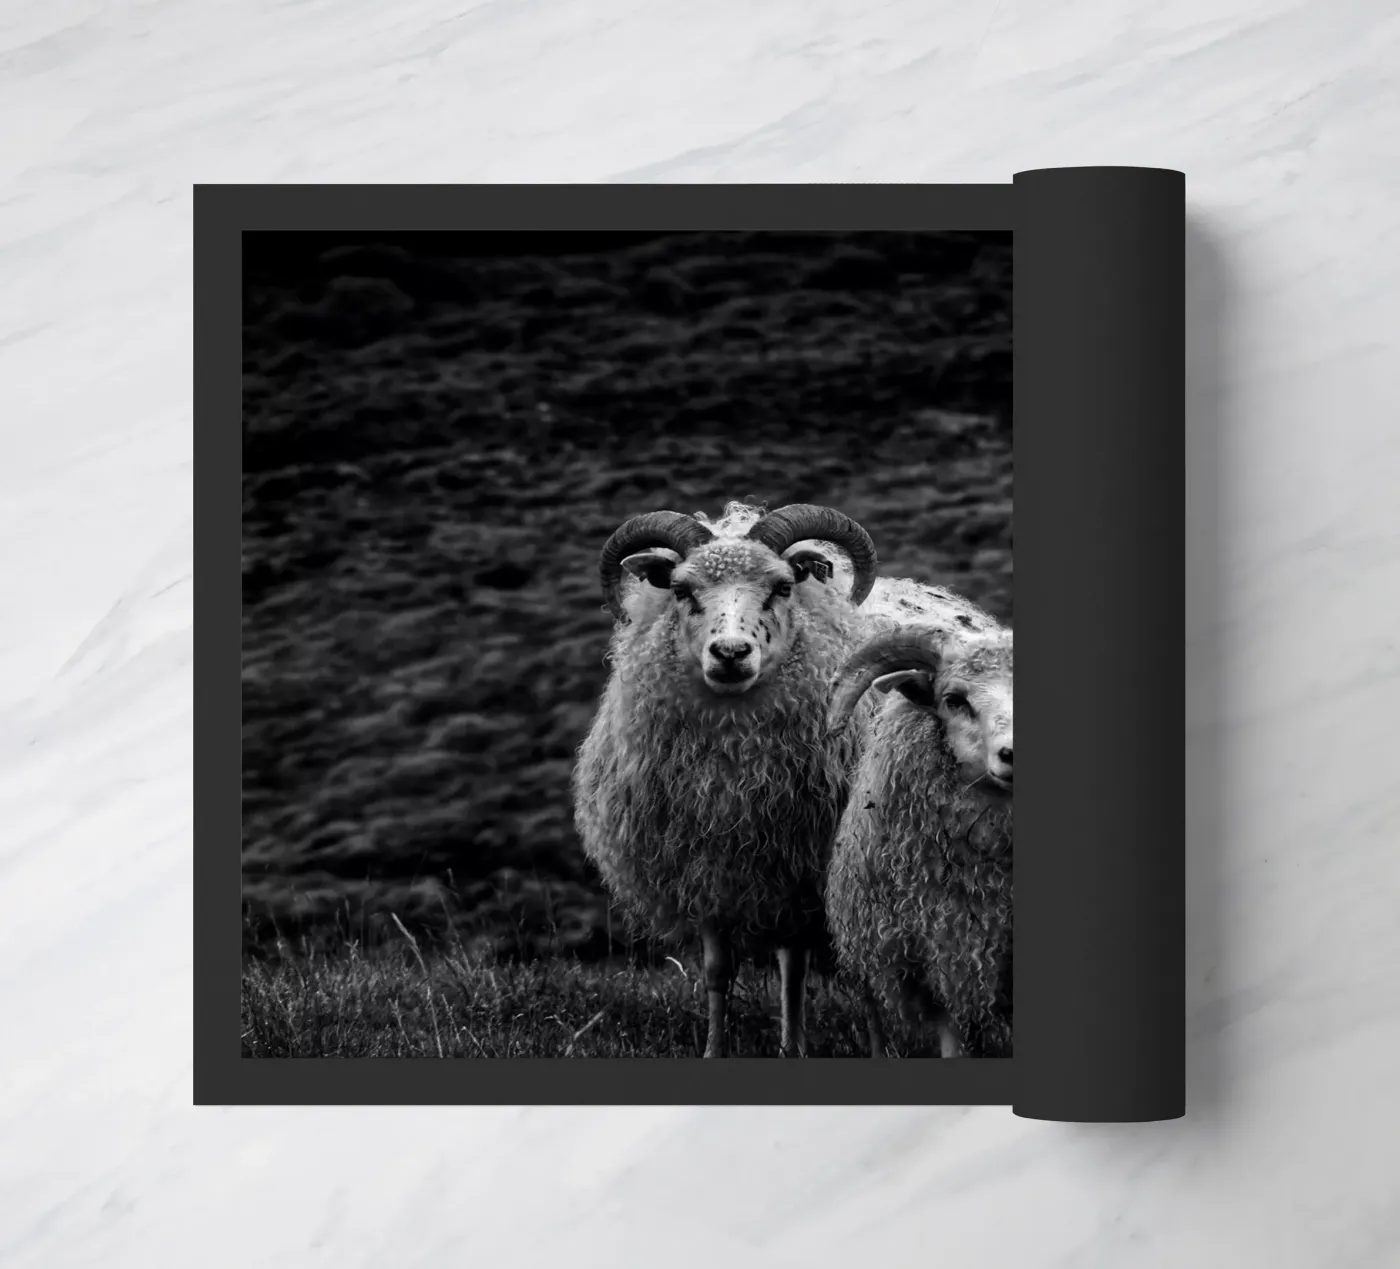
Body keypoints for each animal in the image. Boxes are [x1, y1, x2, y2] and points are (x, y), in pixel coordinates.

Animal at [571, 499, 880, 1058]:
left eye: (783, 586)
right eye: (680, 590)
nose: (731, 653)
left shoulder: (797, 867)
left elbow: (794, 969)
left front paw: (793, 1048)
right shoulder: (709, 868)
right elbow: (717, 972)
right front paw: (715, 1049)